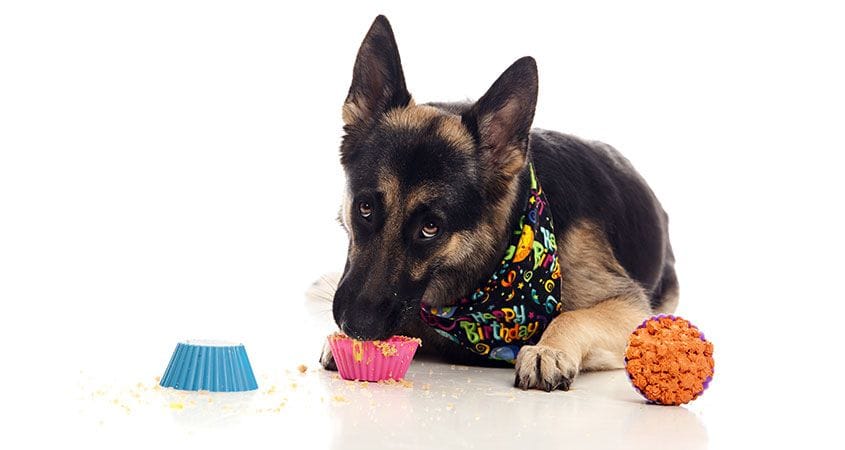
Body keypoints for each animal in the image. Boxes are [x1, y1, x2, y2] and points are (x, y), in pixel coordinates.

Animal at [318, 15, 680, 392]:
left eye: (431, 228)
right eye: (365, 208)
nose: (357, 326)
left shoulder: (630, 308)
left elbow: (573, 318)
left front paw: (548, 350)